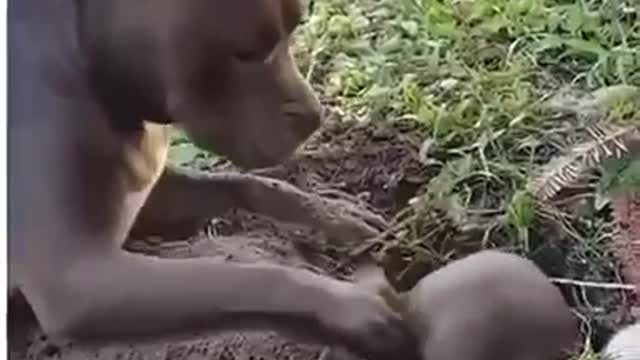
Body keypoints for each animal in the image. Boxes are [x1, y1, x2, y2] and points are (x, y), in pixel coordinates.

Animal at [7, 1, 422, 358]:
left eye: (295, 29)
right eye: (247, 52)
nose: (315, 117)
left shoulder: (149, 193)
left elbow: (246, 184)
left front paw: (335, 214)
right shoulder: (78, 278)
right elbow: (247, 275)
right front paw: (347, 302)